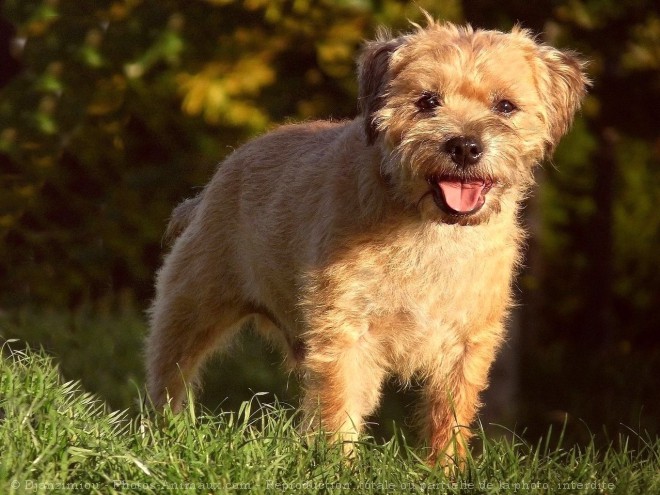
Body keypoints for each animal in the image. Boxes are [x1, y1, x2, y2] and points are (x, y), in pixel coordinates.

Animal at [146, 16, 588, 464]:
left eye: (505, 106)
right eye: (428, 101)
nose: (464, 145)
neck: (431, 230)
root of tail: (217, 178)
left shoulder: (469, 341)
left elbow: (450, 415)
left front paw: (445, 470)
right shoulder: (344, 330)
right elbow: (339, 405)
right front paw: (338, 467)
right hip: (190, 307)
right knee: (169, 376)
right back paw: (166, 435)